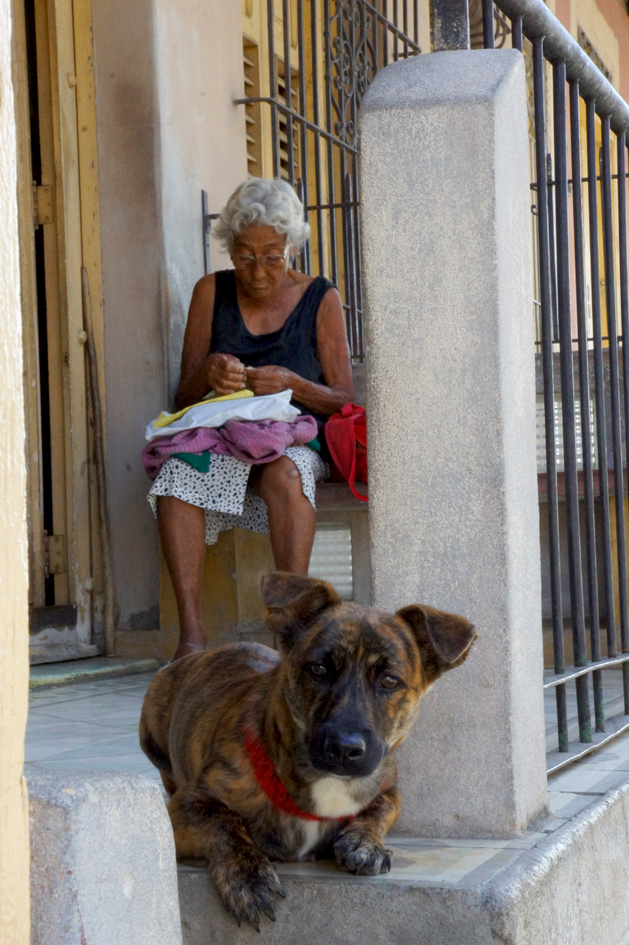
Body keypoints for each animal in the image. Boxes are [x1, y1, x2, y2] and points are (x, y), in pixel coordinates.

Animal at [140, 572, 474, 924]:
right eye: (318, 669)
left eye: (389, 680)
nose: (344, 748)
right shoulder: (184, 805)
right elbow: (223, 822)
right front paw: (248, 876)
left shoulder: (389, 786)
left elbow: (379, 809)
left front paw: (365, 842)